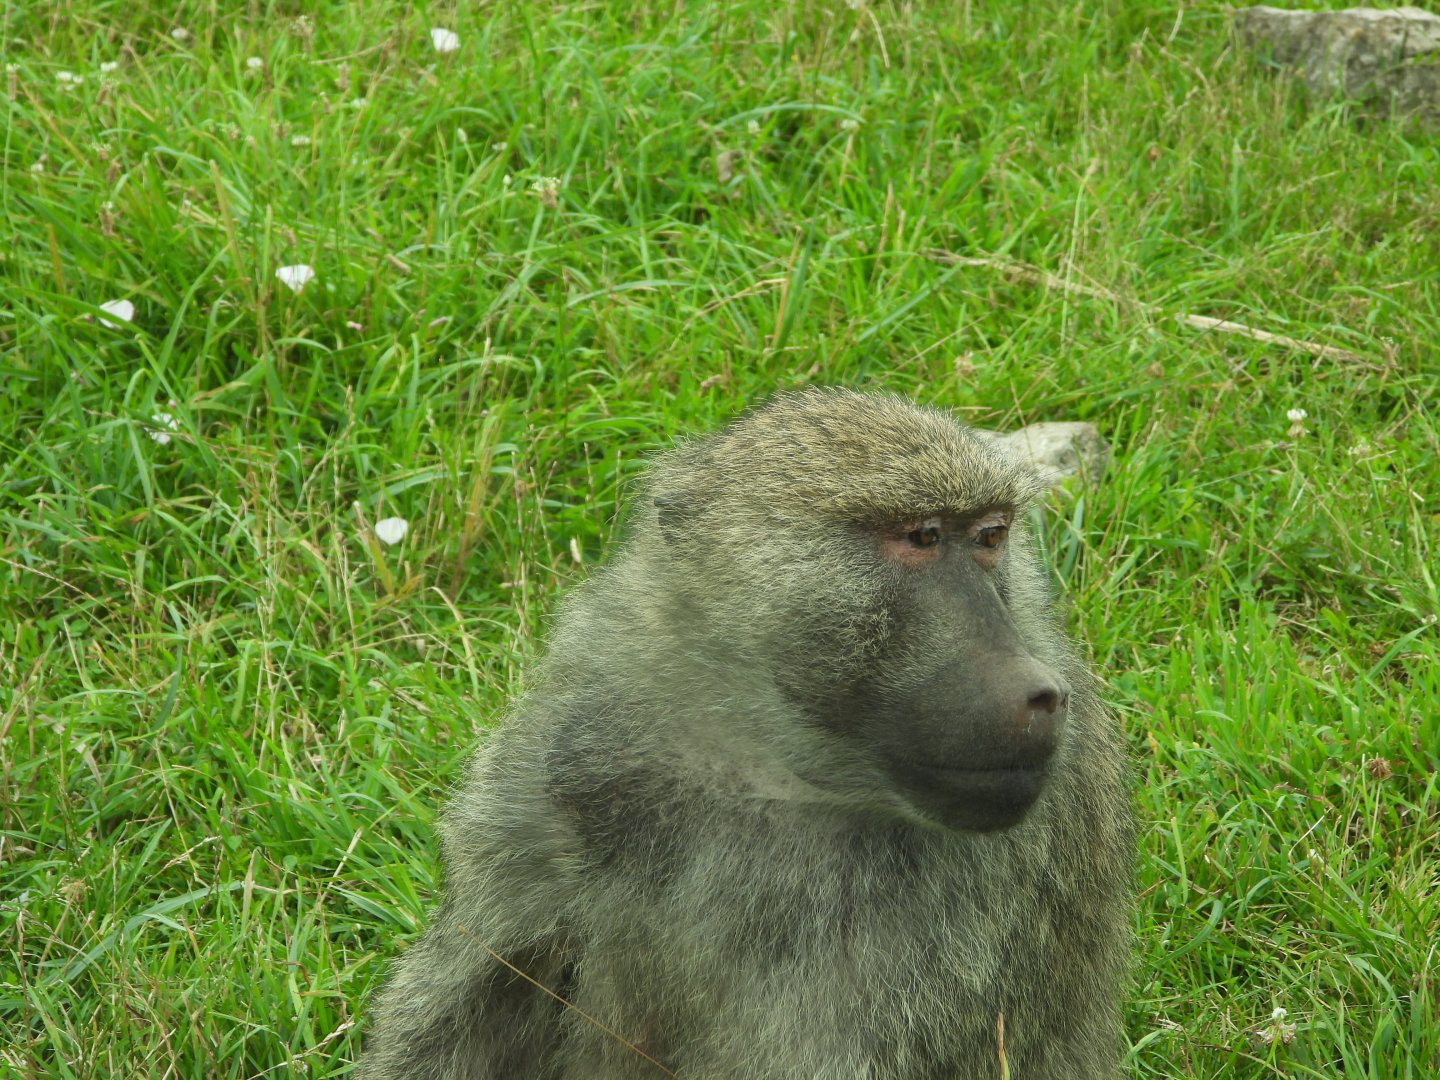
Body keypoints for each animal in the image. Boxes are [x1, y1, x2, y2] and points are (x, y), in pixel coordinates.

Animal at [357, 388, 1133, 1080]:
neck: (767, 767)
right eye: (922, 537)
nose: (1040, 693)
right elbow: (469, 1000)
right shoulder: (567, 757)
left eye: (992, 536)